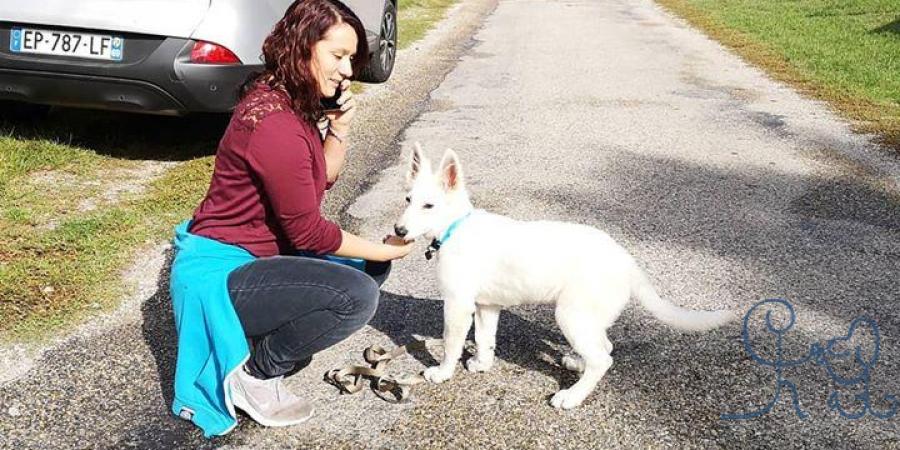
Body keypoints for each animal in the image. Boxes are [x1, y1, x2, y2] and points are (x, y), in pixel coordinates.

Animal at [398, 143, 736, 408]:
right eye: (408, 200)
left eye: (429, 205)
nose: (398, 231)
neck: (455, 228)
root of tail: (626, 260)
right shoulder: (486, 305)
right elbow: (484, 338)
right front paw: (482, 363)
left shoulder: (457, 304)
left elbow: (451, 342)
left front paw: (442, 372)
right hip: (588, 316)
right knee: (604, 346)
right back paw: (576, 363)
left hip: (570, 314)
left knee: (603, 359)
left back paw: (571, 396)